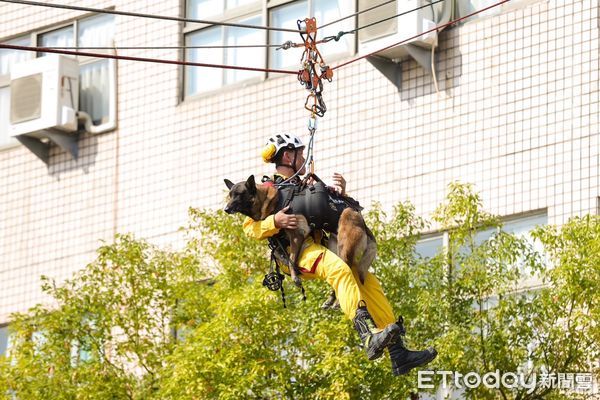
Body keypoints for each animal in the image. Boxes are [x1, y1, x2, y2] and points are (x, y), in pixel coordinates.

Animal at [225, 177, 376, 304]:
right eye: (230, 195)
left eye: (239, 194)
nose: (226, 209)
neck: (276, 201)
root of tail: (363, 226)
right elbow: (283, 254)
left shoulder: (297, 235)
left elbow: (292, 258)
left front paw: (295, 277)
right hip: (336, 248)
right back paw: (332, 299)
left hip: (345, 247)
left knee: (348, 271)